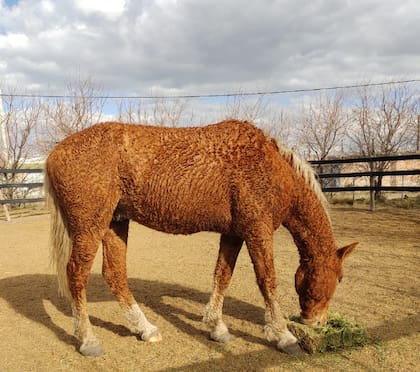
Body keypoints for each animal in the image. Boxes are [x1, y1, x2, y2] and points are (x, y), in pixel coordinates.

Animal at [45, 120, 354, 358]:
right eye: (339, 278)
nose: (317, 323)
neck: (271, 167)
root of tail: (55, 153)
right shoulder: (258, 231)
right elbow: (268, 281)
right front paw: (283, 335)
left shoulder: (234, 234)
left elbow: (222, 276)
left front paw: (217, 327)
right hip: (90, 226)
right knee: (77, 275)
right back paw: (88, 340)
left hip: (115, 223)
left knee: (115, 274)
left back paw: (146, 329)